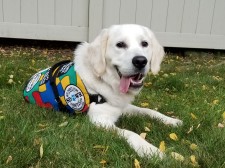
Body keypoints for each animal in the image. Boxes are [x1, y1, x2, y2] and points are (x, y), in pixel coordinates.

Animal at [74, 24, 183, 158]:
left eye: (144, 43)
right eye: (120, 44)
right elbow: (131, 133)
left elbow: (148, 110)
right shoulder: (100, 120)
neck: (108, 82)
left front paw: (171, 120)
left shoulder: (123, 107)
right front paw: (150, 150)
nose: (140, 61)